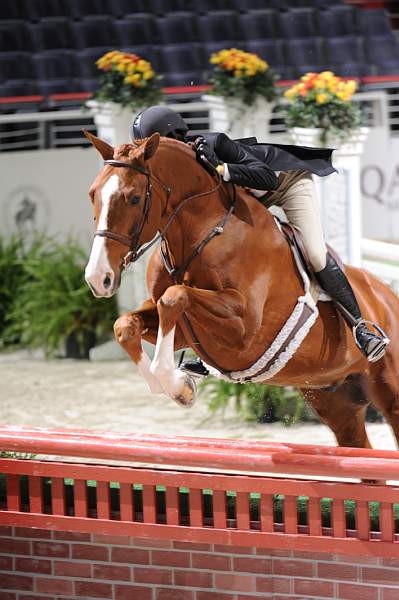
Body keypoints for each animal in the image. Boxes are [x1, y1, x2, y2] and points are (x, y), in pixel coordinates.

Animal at [84, 131, 399, 450]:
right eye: (92, 194)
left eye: (134, 198)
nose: (98, 278)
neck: (203, 232)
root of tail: (388, 296)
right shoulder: (187, 331)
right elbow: (126, 324)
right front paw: (176, 386)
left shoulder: (243, 329)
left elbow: (174, 297)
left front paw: (178, 387)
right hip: (335, 400)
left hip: (389, 391)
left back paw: (369, 337)